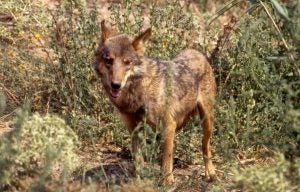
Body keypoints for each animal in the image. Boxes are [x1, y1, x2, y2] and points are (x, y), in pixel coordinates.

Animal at [94, 20, 216, 184]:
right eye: (109, 61)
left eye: (127, 62)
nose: (116, 85)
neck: (139, 92)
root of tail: (197, 52)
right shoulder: (134, 130)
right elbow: (138, 159)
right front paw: (139, 181)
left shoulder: (169, 125)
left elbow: (167, 158)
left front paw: (167, 182)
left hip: (206, 120)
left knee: (205, 146)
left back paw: (211, 173)